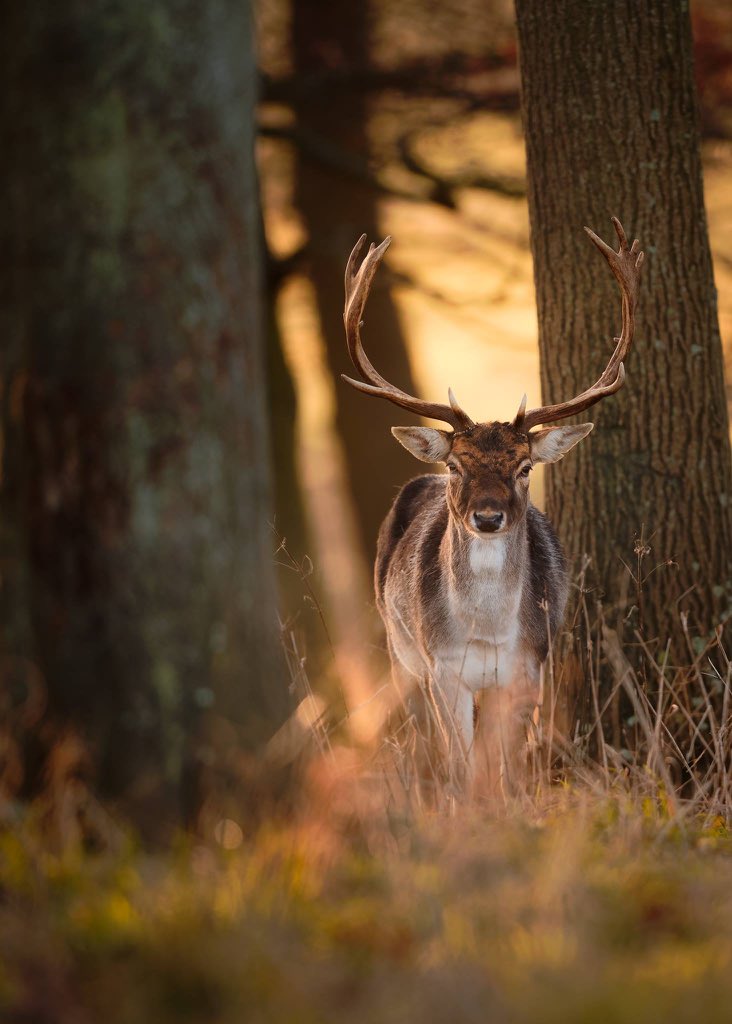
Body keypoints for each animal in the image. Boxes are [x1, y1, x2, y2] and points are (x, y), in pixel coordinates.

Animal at [341, 218, 644, 794]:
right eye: (457, 466)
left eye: (524, 467)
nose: (486, 516)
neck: (485, 633)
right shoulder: (442, 669)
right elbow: (463, 770)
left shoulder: (530, 667)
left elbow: (508, 771)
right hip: (399, 653)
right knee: (420, 742)